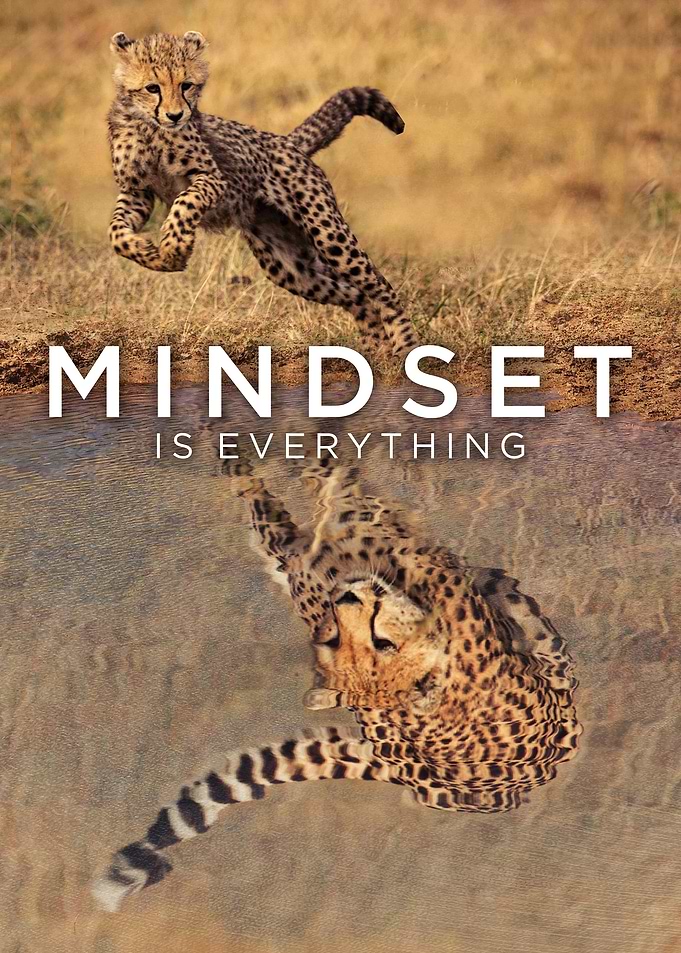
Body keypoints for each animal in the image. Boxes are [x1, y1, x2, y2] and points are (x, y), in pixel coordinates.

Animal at [107, 31, 417, 356]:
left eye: (186, 85)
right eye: (152, 88)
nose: (176, 115)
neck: (150, 129)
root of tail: (287, 141)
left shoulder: (213, 179)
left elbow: (183, 204)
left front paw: (173, 249)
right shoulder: (136, 192)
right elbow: (116, 234)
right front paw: (152, 254)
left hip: (329, 237)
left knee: (381, 288)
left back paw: (404, 348)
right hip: (292, 267)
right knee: (356, 296)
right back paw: (374, 350)